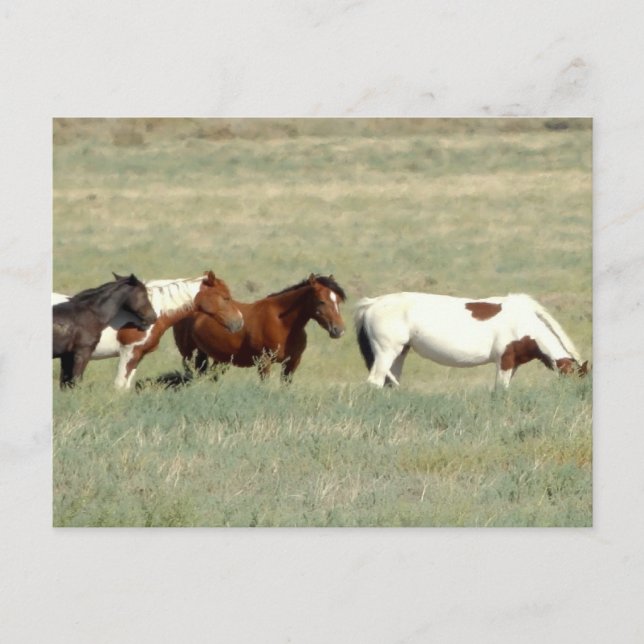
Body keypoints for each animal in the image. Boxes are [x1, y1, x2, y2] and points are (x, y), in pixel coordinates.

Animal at [173, 273, 347, 382]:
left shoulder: (292, 363)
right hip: (188, 354)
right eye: (321, 301)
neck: (283, 324)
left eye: (338, 300)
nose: (339, 330)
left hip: (216, 358)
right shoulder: (264, 362)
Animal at [354, 291, 588, 389]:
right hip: (386, 352)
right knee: (376, 382)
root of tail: (372, 303)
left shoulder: (514, 364)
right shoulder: (504, 361)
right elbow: (500, 389)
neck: (524, 322)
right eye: (574, 376)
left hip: (400, 353)